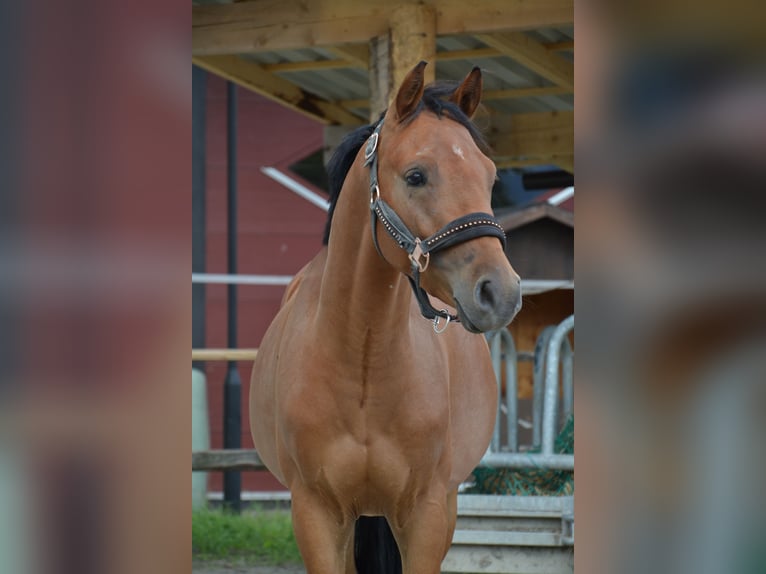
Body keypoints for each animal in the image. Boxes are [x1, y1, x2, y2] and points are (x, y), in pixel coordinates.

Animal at [250, 63, 520, 574]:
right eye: (416, 175)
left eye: (490, 176)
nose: (501, 293)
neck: (363, 362)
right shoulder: (315, 514)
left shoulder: (427, 513)